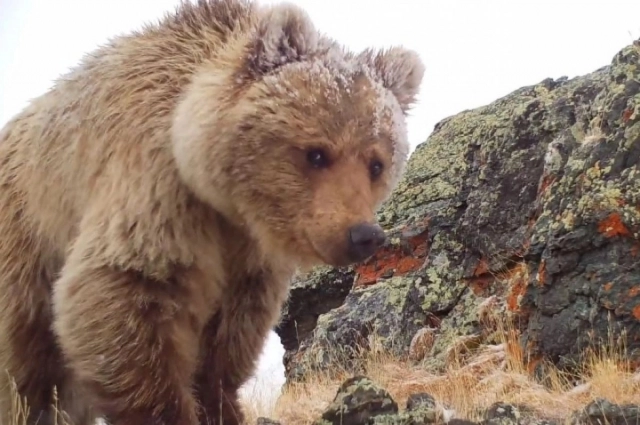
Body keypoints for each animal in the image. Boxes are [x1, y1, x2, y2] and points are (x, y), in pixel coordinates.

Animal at [0, 0, 424, 424]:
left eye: (376, 164)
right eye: (317, 153)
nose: (363, 234)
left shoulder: (250, 255)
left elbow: (231, 334)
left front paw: (221, 402)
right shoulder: (156, 189)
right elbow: (120, 288)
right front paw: (170, 409)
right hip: (25, 241)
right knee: (24, 360)